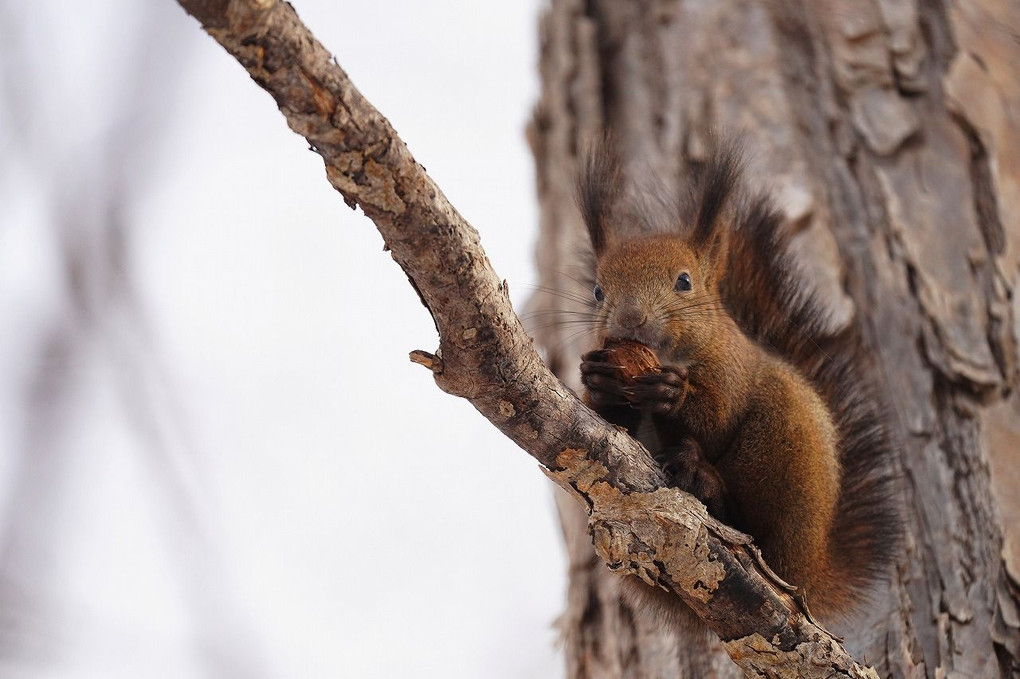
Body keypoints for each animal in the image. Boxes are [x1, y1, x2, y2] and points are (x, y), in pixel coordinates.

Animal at [579, 136, 897, 619]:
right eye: (598, 291)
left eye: (684, 282)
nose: (631, 319)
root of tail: (811, 570)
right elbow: (612, 429)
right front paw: (598, 382)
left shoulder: (732, 369)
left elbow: (716, 418)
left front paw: (673, 394)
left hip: (778, 443)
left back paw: (705, 480)